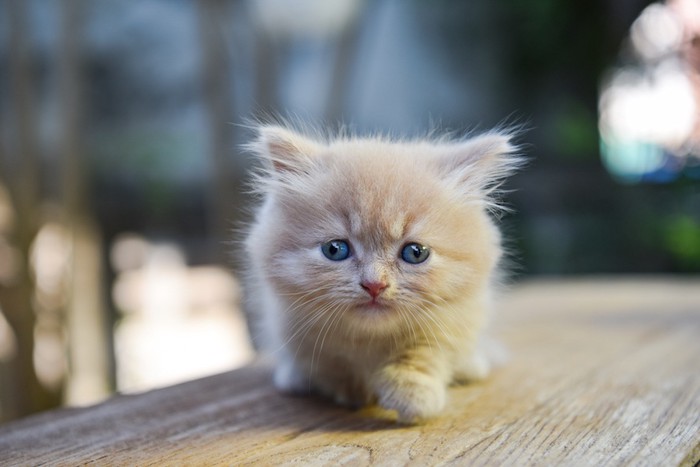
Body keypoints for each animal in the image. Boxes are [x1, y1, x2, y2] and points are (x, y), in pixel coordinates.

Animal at [243, 124, 524, 424]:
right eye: (335, 249)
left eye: (415, 253)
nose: (374, 284)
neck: (370, 341)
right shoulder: (293, 326)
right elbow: (332, 365)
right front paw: (355, 390)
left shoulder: (453, 320)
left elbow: (425, 353)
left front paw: (412, 394)